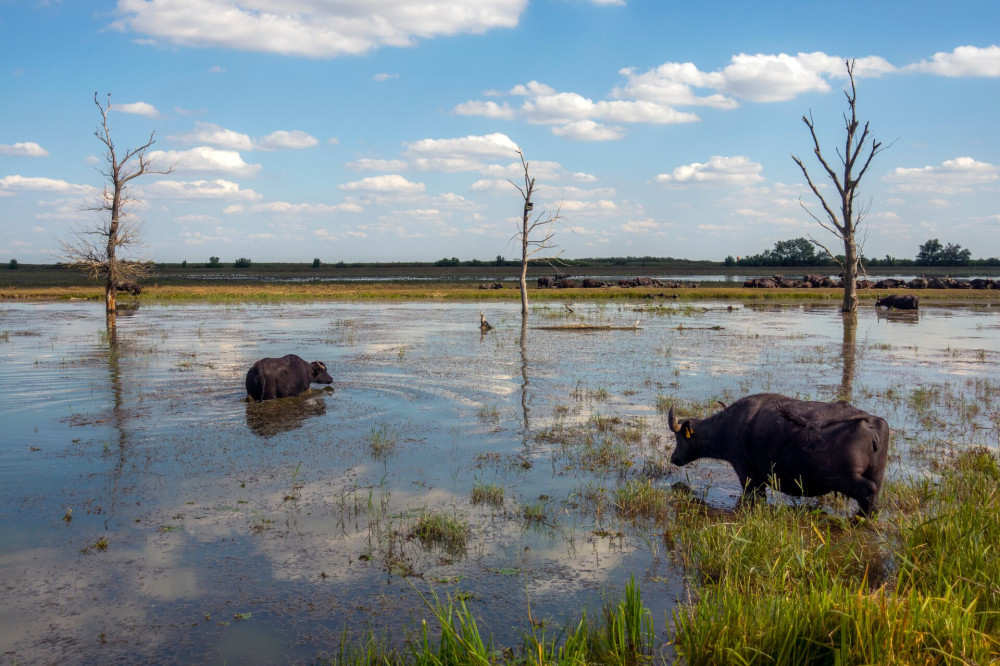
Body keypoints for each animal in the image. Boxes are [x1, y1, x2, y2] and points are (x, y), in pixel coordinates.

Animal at [668, 392, 888, 516]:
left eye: (679, 438)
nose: (673, 458)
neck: (728, 426)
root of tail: (870, 424)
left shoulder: (749, 477)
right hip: (876, 475)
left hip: (845, 479)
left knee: (868, 491)